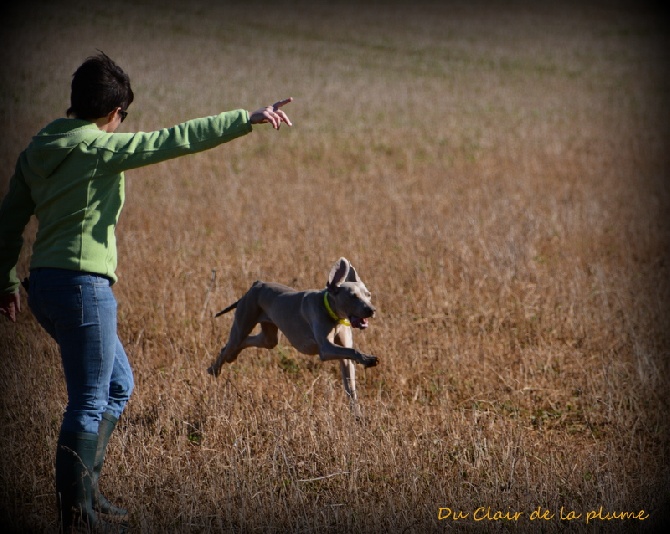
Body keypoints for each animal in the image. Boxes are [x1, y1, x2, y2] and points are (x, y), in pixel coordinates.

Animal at [209, 258, 378, 416]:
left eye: (368, 295)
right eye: (353, 296)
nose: (372, 310)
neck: (332, 312)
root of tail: (256, 285)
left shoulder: (344, 357)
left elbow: (351, 385)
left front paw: (358, 415)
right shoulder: (325, 349)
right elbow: (351, 351)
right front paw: (367, 358)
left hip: (268, 337)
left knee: (246, 342)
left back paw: (232, 356)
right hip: (243, 322)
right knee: (232, 343)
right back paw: (214, 369)